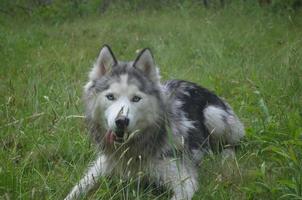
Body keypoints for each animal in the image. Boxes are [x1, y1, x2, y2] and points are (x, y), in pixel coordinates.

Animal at [65, 45, 244, 200]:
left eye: (136, 98)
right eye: (110, 97)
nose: (121, 121)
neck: (132, 150)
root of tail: (198, 86)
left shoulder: (185, 181)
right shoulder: (101, 166)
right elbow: (76, 190)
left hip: (213, 114)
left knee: (232, 145)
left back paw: (225, 158)